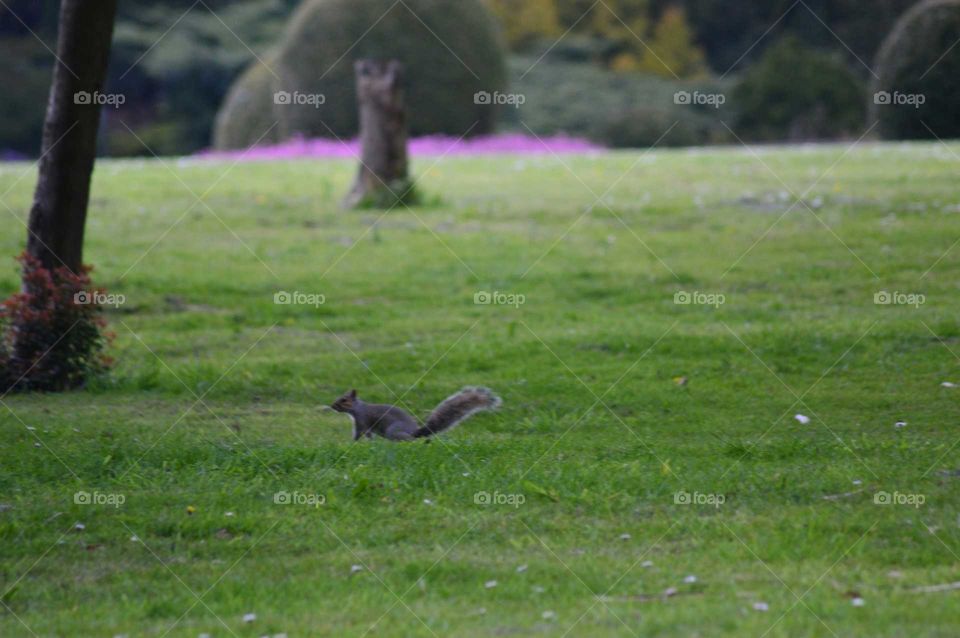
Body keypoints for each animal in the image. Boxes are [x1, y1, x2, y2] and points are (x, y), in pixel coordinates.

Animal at [332, 388, 502, 442]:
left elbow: (359, 433)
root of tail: (415, 433)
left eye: (344, 400)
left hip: (393, 431)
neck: (357, 408)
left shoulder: (362, 421)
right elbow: (368, 435)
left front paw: (352, 443)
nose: (332, 406)